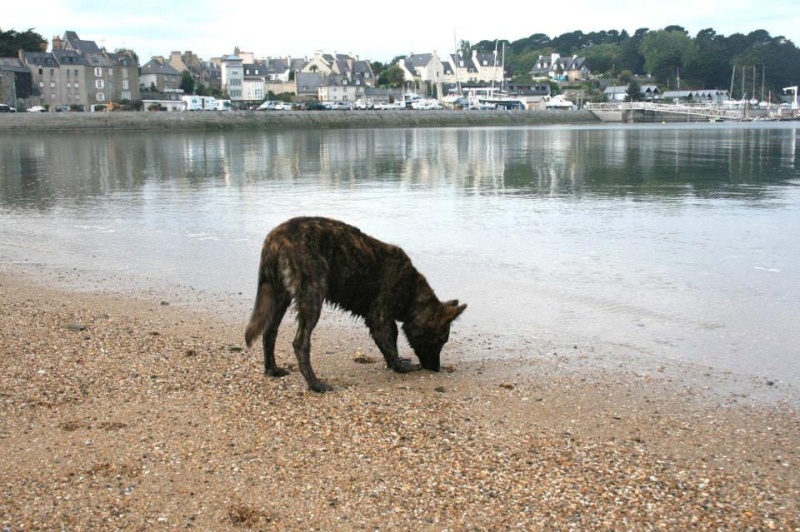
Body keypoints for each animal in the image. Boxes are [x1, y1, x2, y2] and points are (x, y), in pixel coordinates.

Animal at [245, 215, 468, 390]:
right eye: (441, 340)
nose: (436, 369)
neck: (412, 292)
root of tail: (275, 238)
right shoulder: (379, 318)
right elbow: (390, 345)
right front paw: (399, 366)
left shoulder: (384, 320)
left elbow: (392, 340)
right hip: (313, 298)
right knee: (300, 343)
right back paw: (315, 384)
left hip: (279, 298)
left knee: (269, 333)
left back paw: (272, 370)